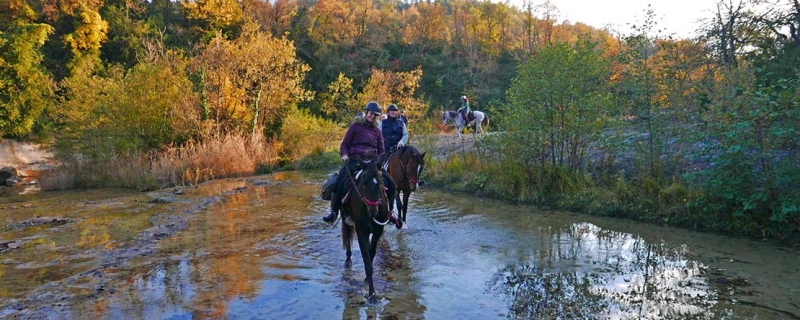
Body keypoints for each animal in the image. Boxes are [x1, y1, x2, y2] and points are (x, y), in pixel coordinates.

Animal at [340, 158, 394, 298]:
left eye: (380, 182)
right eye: (364, 183)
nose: (373, 211)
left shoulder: (378, 231)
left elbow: (371, 253)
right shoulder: (361, 232)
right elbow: (367, 263)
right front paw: (372, 294)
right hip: (344, 217)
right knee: (348, 236)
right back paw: (348, 260)